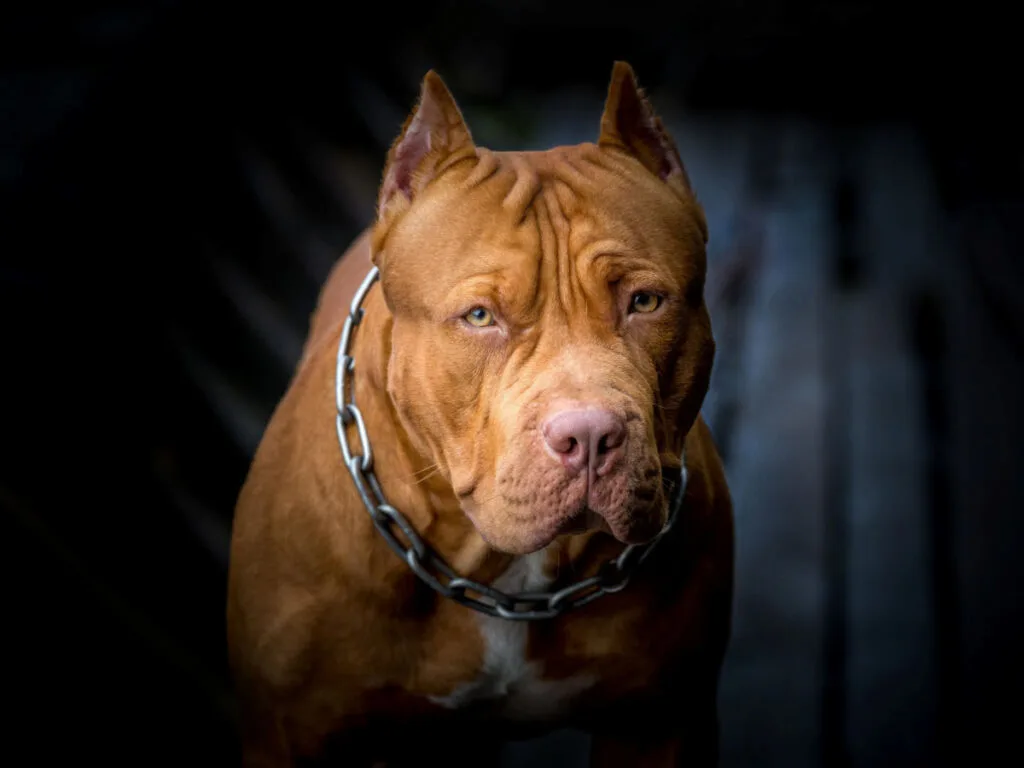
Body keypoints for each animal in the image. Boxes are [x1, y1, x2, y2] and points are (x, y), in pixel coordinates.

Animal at [225, 63, 737, 765]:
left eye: (645, 302)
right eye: (478, 317)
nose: (589, 435)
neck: (505, 583)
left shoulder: (662, 723)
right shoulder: (287, 731)